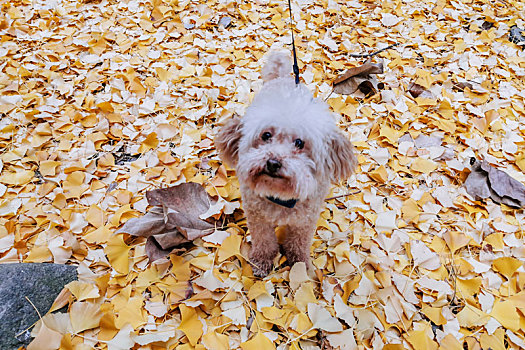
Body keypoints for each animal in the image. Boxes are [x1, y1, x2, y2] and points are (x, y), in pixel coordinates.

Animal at [214, 51, 356, 276]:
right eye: (266, 135)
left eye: (299, 143)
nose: (273, 162)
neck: (281, 198)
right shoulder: (258, 218)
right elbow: (264, 241)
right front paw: (261, 262)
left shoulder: (305, 221)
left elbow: (299, 243)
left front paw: (300, 266)